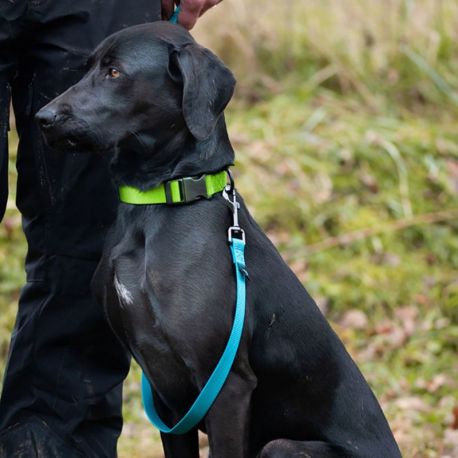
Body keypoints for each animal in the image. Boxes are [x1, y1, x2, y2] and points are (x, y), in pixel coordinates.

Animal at [35, 19, 400, 456]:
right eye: (87, 67)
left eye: (115, 72)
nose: (42, 118)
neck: (158, 202)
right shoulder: (168, 398)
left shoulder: (226, 385)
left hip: (281, 445)